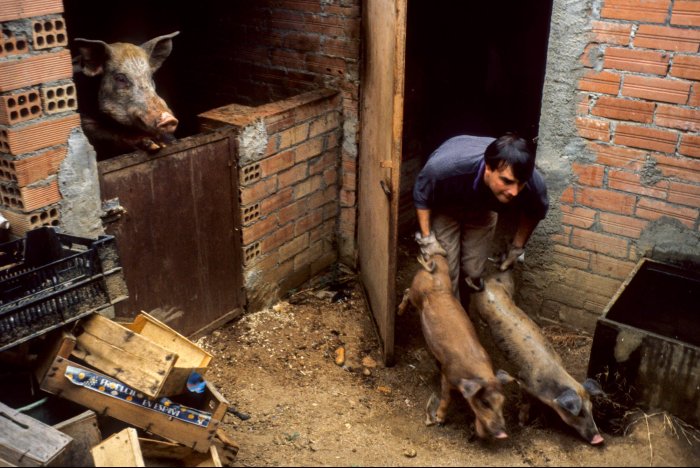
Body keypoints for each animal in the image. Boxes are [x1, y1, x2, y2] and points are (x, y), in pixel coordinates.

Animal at [400, 254, 516, 440]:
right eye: (485, 402)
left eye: (502, 402)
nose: (503, 434)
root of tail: (435, 264)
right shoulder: (447, 375)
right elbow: (446, 399)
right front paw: (439, 421)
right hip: (415, 292)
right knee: (405, 291)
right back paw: (398, 312)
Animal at [470, 268, 608, 444]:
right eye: (580, 413)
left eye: (591, 408)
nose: (599, 438)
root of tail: (488, 280)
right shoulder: (524, 384)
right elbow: (525, 404)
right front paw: (522, 424)